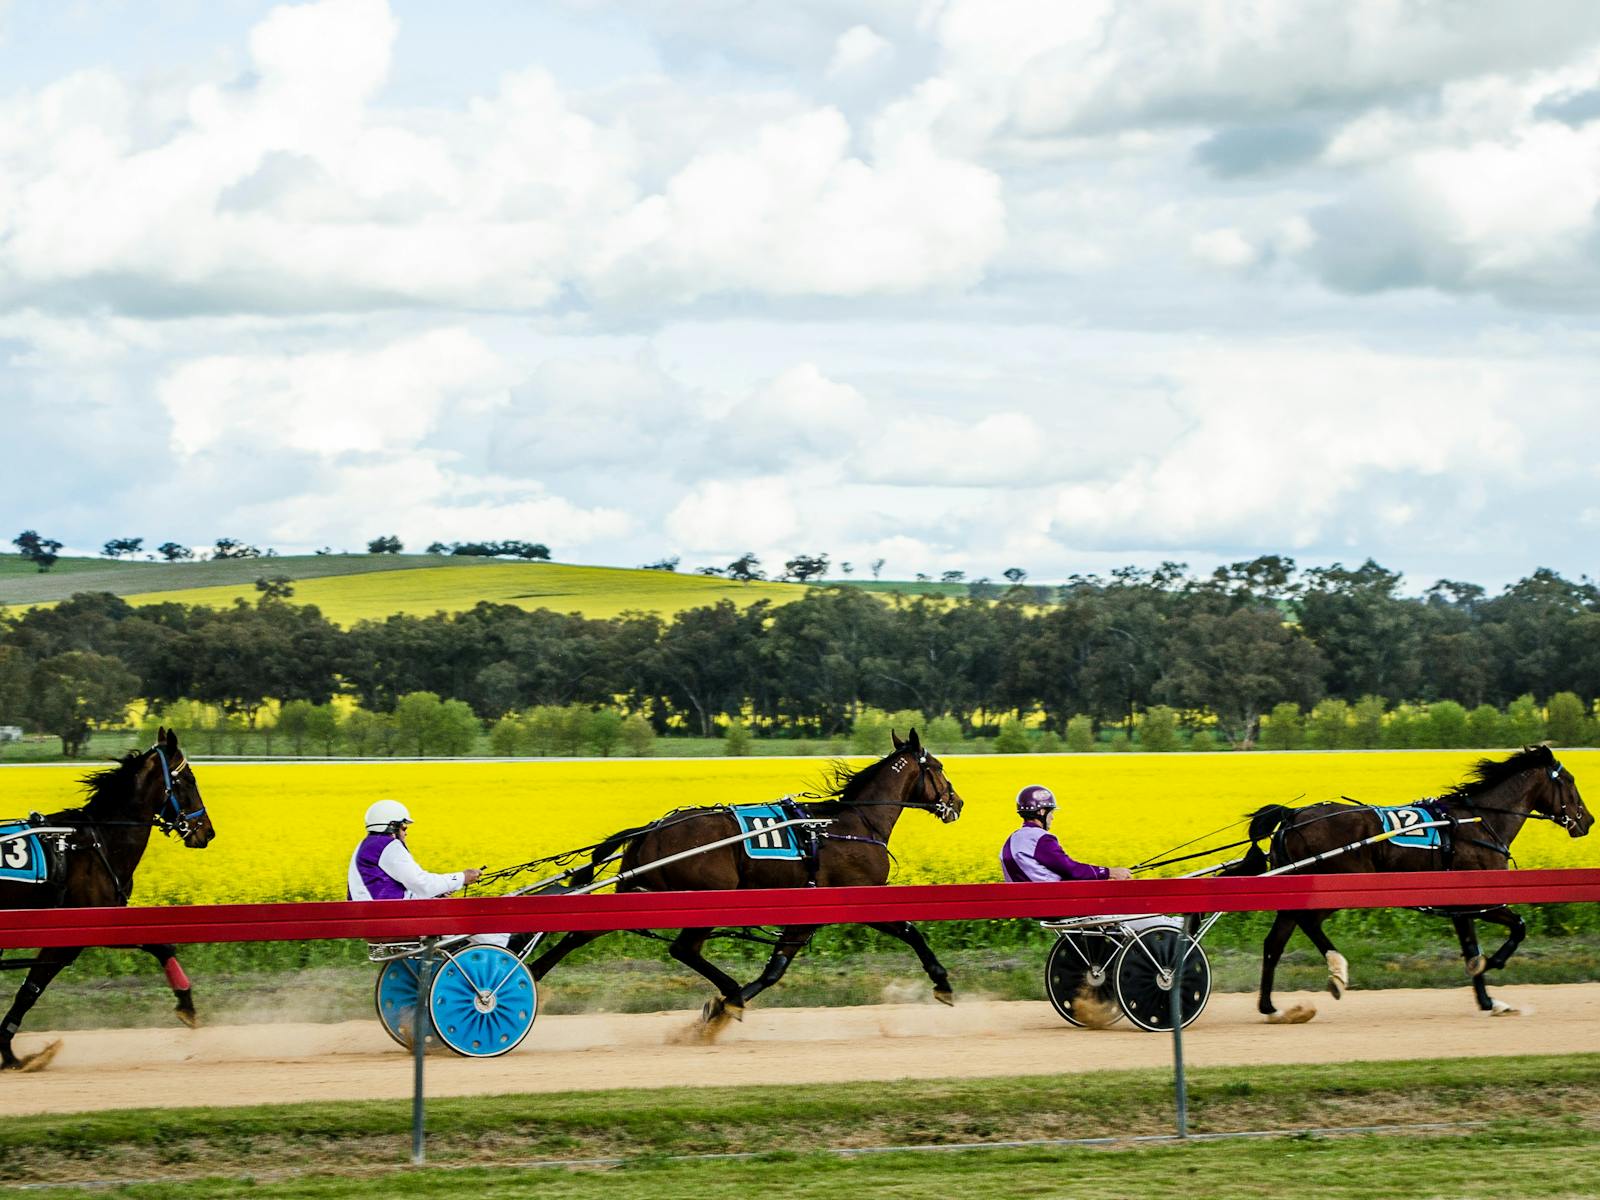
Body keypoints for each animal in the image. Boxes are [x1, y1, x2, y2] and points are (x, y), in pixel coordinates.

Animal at [531, 732, 966, 1024]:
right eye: (939, 768)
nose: (957, 803)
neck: (852, 824)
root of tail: (651, 830)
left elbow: (777, 965)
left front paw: (728, 1003)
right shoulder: (857, 894)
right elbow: (911, 932)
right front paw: (942, 983)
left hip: (639, 892)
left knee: (581, 934)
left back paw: (532, 973)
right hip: (708, 895)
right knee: (684, 949)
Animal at [1222, 748, 1587, 1017]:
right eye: (1569, 780)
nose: (1588, 820)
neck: (1478, 822)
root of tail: (1292, 816)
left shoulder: (1460, 904)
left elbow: (1472, 949)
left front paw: (1488, 1000)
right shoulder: (1482, 900)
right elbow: (1518, 927)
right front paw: (1495, 963)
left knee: (1275, 942)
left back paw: (1270, 1007)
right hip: (1340, 885)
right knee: (1308, 923)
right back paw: (1338, 973)